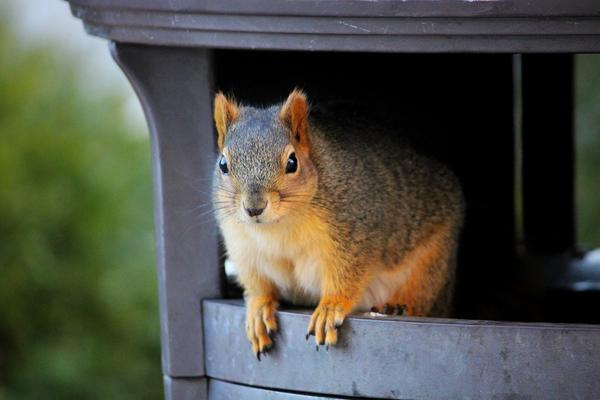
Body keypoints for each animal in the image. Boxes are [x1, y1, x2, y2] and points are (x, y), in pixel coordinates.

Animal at [212, 89, 464, 359]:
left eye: (292, 162)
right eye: (223, 164)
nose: (254, 208)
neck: (277, 226)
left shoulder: (354, 229)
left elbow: (347, 273)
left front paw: (330, 307)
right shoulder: (243, 246)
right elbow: (258, 284)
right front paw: (259, 309)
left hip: (430, 264)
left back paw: (398, 307)